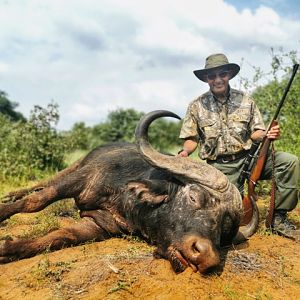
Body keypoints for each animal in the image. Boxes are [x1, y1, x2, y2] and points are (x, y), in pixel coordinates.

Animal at [0, 110, 258, 274]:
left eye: (225, 229)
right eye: (194, 197)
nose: (206, 257)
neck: (124, 200)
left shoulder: (99, 224)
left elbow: (60, 237)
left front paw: (8, 248)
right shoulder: (81, 178)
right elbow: (37, 201)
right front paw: (4, 212)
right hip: (73, 167)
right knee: (39, 186)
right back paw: (10, 195)